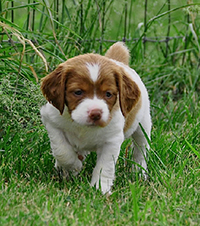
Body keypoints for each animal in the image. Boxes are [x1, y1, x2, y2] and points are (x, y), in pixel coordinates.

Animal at [40, 42, 151, 194]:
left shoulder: (111, 140)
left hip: (143, 125)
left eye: (108, 94)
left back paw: (139, 173)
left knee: (141, 150)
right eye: (78, 92)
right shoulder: (52, 121)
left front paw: (100, 189)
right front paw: (73, 167)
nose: (96, 113)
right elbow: (62, 151)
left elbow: (105, 166)